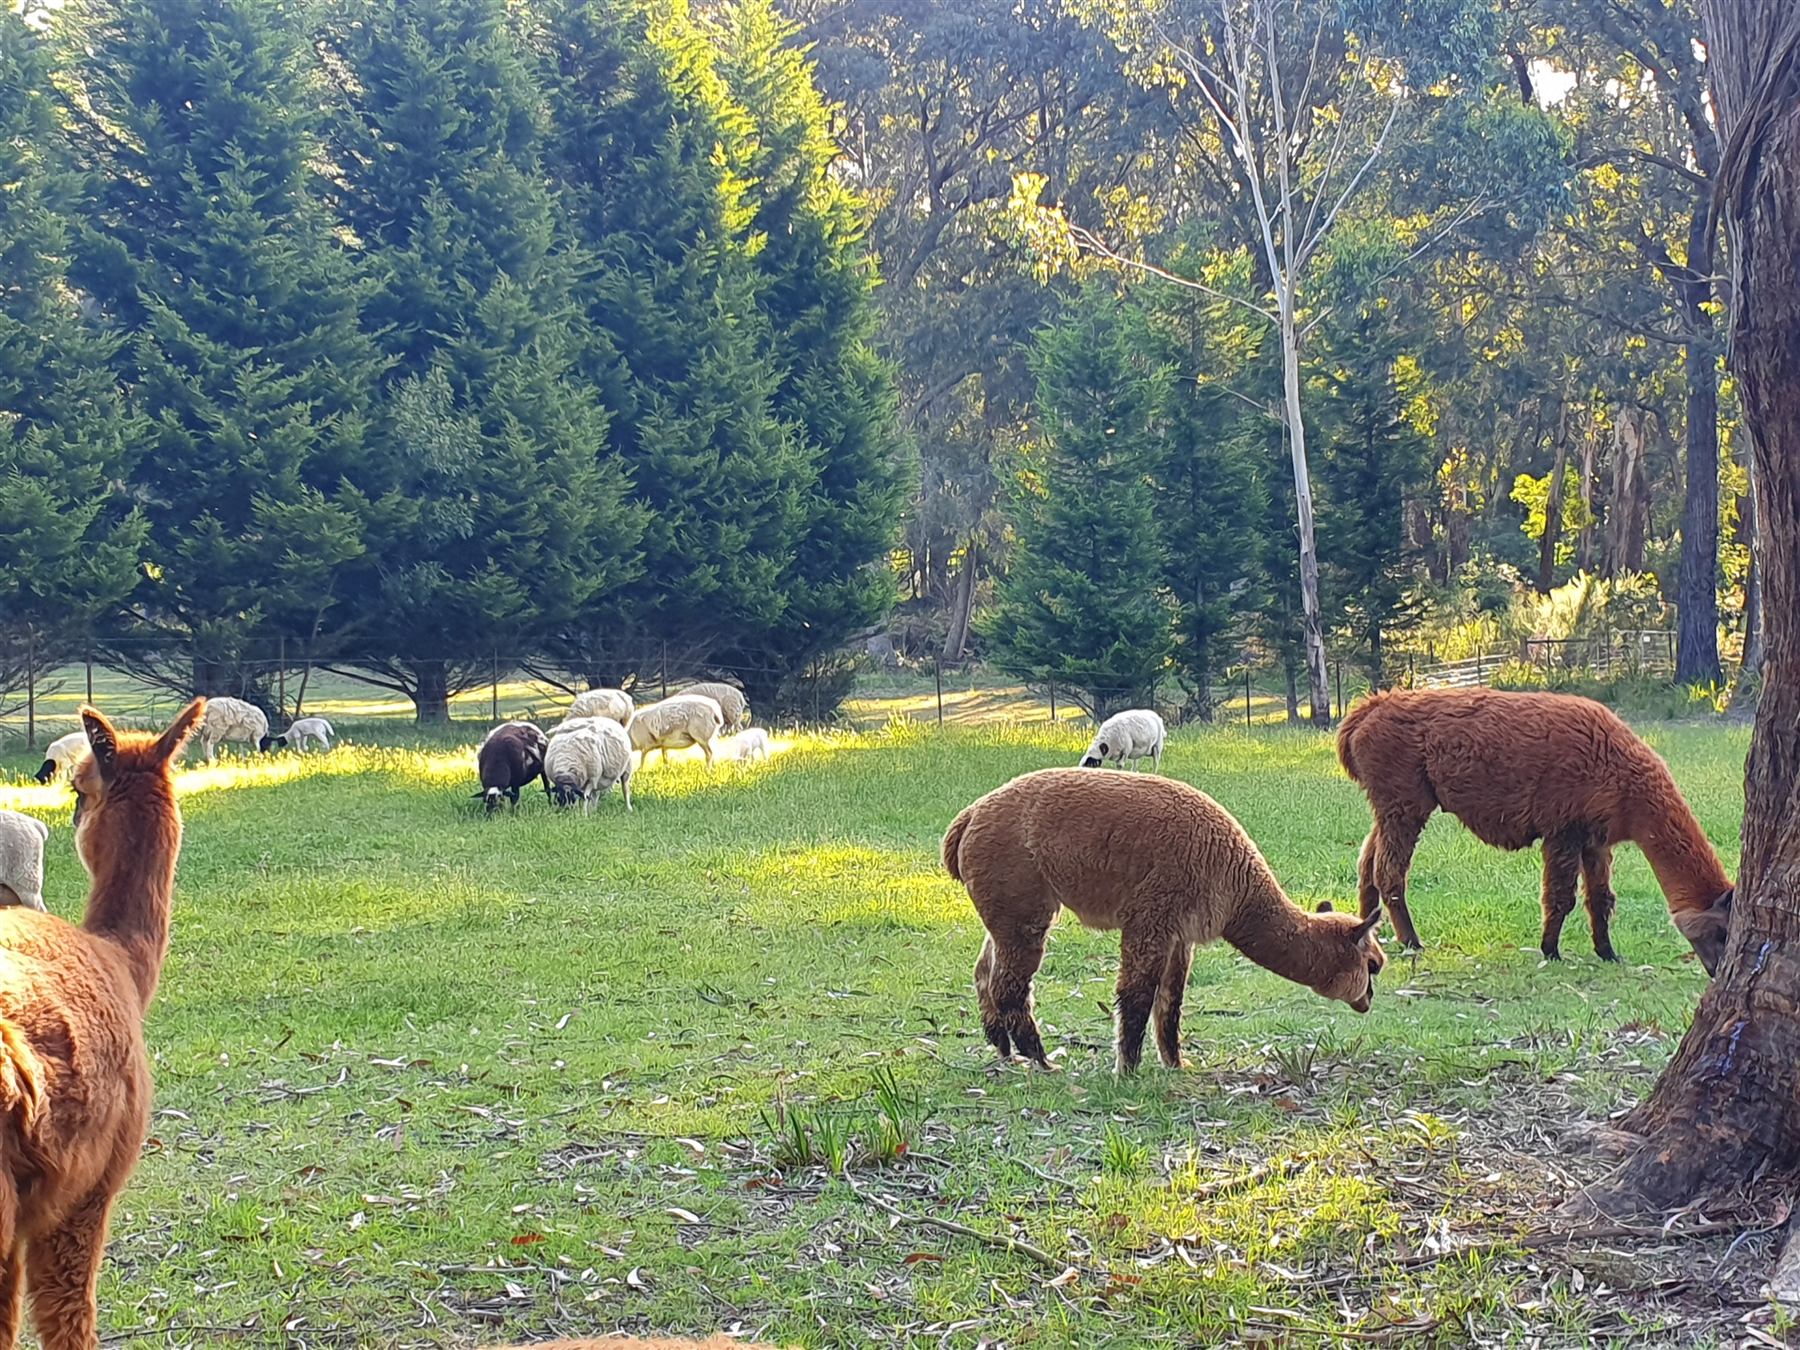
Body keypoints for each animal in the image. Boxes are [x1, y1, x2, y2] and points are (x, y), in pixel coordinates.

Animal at [943, 768, 1385, 1075]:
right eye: (1373, 965)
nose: (1368, 1000)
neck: (1237, 886)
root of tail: (966, 819)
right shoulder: (1152, 915)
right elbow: (1137, 995)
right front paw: (1127, 1069)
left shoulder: (1180, 933)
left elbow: (1171, 1002)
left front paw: (1175, 1063)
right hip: (1022, 900)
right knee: (1010, 986)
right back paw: (1041, 1060)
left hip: (1008, 908)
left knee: (984, 971)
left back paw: (1003, 1049)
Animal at [1336, 687, 1736, 971]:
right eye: (1720, 932)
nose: (1718, 971)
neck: (1625, 784)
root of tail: (1368, 708)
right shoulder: (1563, 825)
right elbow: (1561, 896)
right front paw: (1551, 950)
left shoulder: (1595, 836)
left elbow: (1601, 898)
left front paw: (1607, 952)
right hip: (1404, 797)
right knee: (1389, 871)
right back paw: (1411, 942)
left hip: (1392, 800)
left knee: (1367, 862)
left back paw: (1366, 931)